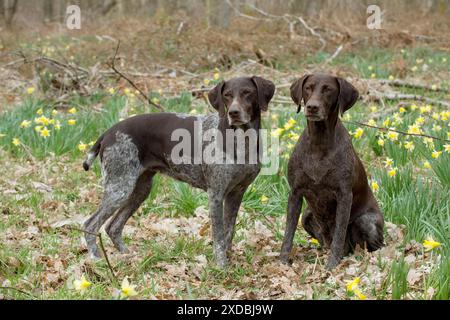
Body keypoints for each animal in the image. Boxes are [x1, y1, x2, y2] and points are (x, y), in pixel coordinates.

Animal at [82, 76, 276, 266]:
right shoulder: (216, 194)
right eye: (227, 95)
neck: (242, 141)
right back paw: (96, 259)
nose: (233, 113)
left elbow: (229, 232)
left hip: (139, 190)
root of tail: (108, 133)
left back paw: (128, 256)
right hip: (119, 188)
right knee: (90, 224)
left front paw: (229, 262)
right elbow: (219, 237)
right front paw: (220, 267)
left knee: (113, 227)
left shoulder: (236, 194)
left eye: (247, 92)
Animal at [282, 74, 384, 268]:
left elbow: (339, 233)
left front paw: (332, 265)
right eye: (308, 88)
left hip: (366, 221)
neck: (319, 142)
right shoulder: (295, 193)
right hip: (307, 215)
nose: (312, 107)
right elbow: (288, 233)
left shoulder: (344, 196)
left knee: (372, 245)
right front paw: (282, 260)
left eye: (328, 89)